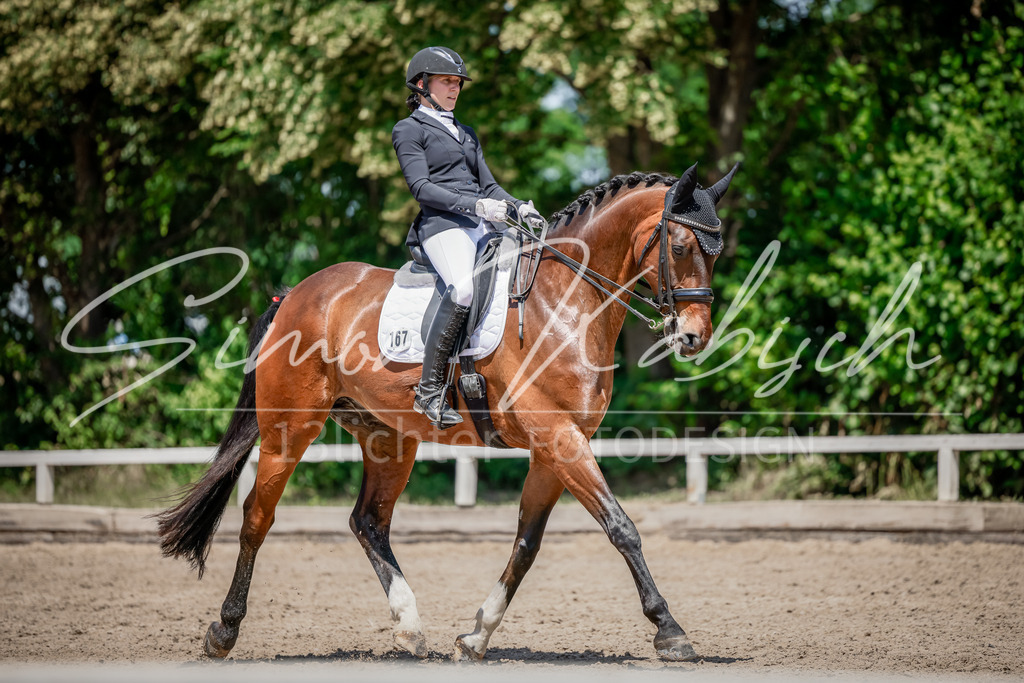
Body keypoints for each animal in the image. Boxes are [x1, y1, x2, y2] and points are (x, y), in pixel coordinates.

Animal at [156, 162, 737, 662]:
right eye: (680, 245)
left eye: (718, 252)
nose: (693, 338)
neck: (564, 303)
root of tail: (294, 295)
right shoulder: (559, 438)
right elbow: (622, 528)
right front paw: (670, 631)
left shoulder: (555, 448)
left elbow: (527, 543)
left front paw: (476, 636)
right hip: (290, 428)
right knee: (258, 516)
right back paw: (224, 631)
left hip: (388, 438)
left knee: (368, 521)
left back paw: (409, 628)